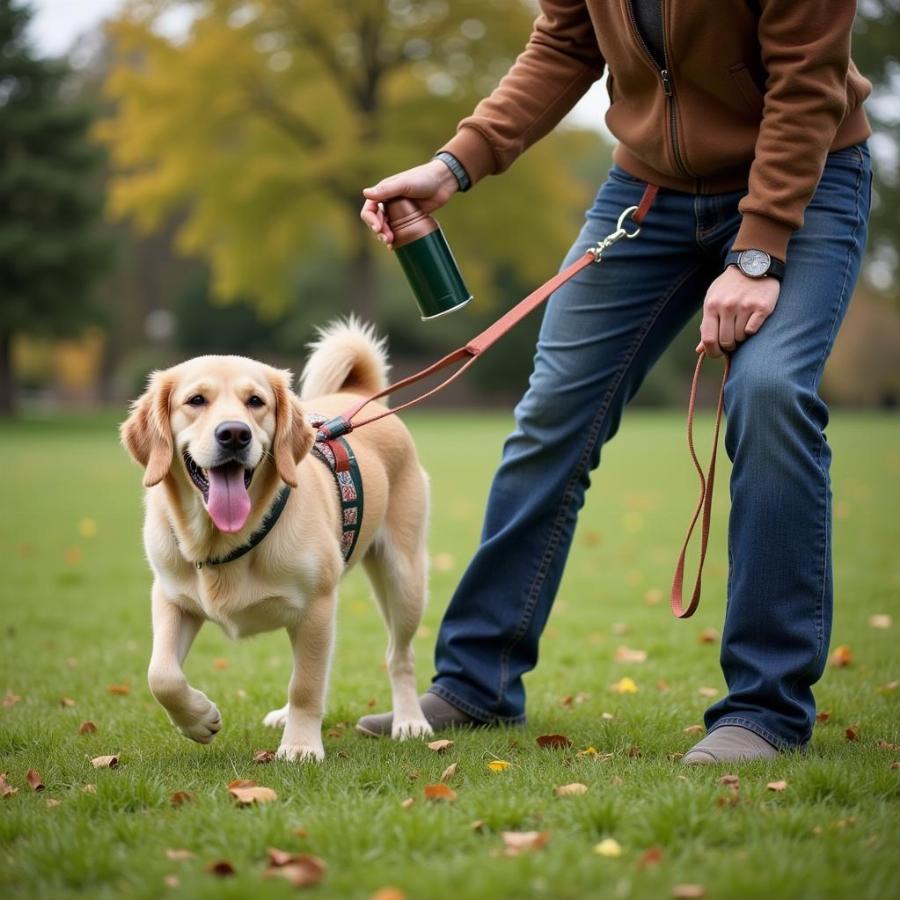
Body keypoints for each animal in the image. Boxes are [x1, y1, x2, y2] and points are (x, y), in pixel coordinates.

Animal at [122, 320, 432, 756]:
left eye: (255, 401)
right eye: (196, 400)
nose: (234, 434)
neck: (224, 540)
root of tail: (360, 396)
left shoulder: (317, 607)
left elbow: (305, 684)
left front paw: (301, 746)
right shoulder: (170, 597)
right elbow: (161, 675)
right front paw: (199, 719)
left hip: (404, 579)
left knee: (398, 656)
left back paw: (409, 721)